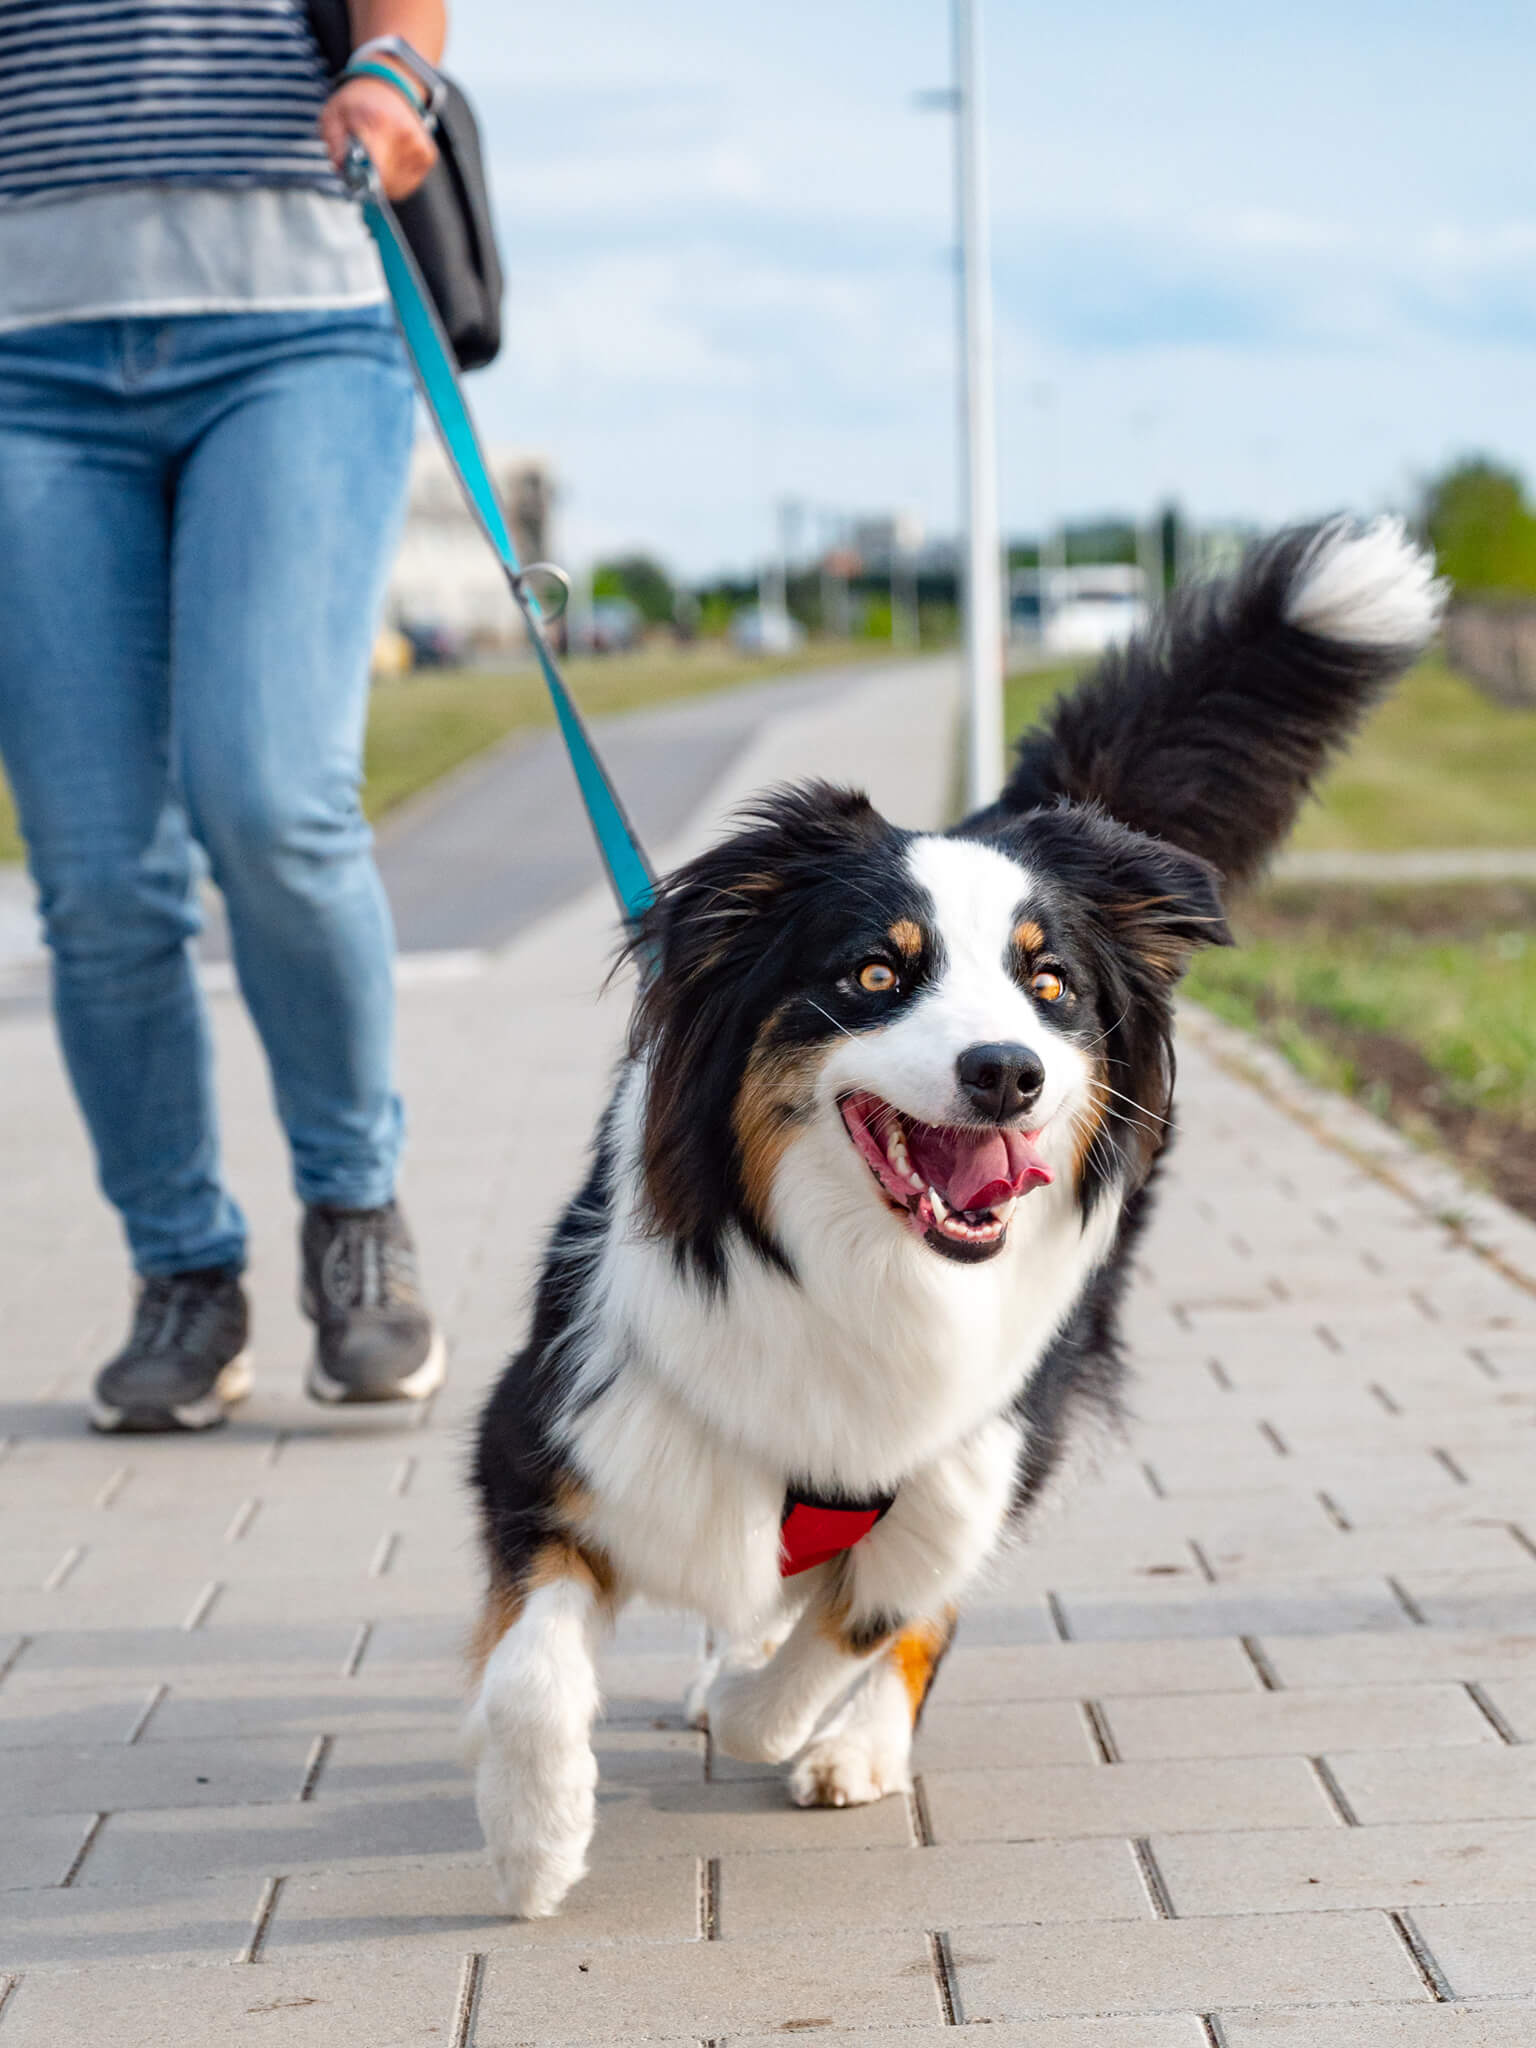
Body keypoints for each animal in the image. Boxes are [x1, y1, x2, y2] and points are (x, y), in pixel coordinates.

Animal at [462, 516, 1449, 1916]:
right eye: (878, 971)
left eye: (1050, 985)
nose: (1007, 1072)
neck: (862, 1269)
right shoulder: (563, 1417)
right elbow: (534, 1663)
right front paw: (533, 1837)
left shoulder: (976, 1444)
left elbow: (869, 1613)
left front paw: (774, 1707)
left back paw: (854, 1738)